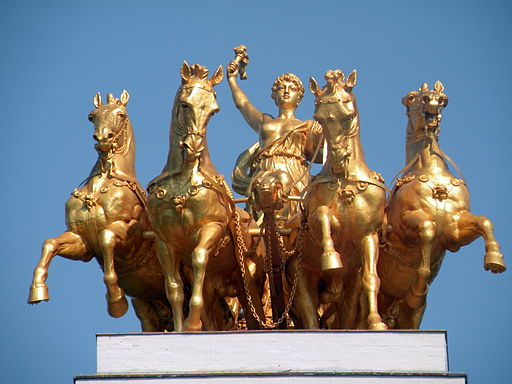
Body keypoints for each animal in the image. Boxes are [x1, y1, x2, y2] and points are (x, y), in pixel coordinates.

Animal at [28, 91, 172, 332]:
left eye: (121, 114)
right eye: (91, 116)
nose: (103, 138)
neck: (100, 185)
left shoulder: (131, 236)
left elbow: (106, 238)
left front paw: (115, 301)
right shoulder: (82, 242)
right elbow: (50, 244)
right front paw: (38, 290)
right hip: (146, 302)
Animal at [144, 62, 264, 330]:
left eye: (213, 111)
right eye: (185, 103)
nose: (194, 148)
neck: (183, 180)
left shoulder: (211, 228)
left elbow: (199, 258)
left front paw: (191, 324)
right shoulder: (164, 242)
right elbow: (174, 288)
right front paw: (182, 328)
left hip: (251, 279)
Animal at [378, 82, 506, 328]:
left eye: (443, 100)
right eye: (412, 97)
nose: (433, 101)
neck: (433, 175)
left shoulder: (455, 230)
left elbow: (484, 222)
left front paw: (495, 260)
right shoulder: (403, 224)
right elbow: (427, 229)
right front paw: (419, 286)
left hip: (406, 312)